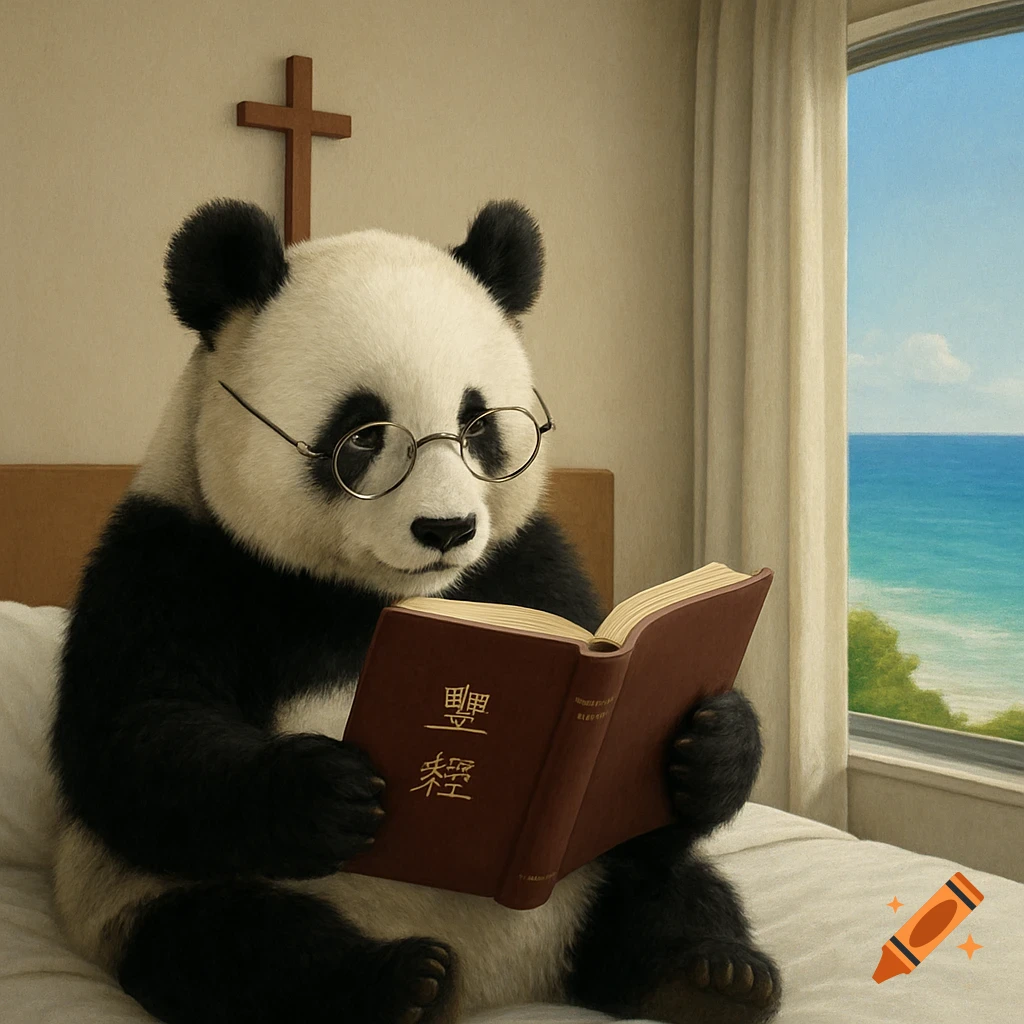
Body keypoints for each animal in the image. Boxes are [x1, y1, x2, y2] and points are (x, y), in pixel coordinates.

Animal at [49, 198, 781, 1024]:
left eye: (478, 426)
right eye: (365, 433)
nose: (446, 530)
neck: (378, 595)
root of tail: (509, 984)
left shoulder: (529, 563)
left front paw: (711, 739)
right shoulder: (174, 556)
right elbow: (134, 738)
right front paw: (328, 788)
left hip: (584, 883)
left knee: (663, 880)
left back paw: (708, 974)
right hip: (148, 902)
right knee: (234, 945)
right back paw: (400, 983)